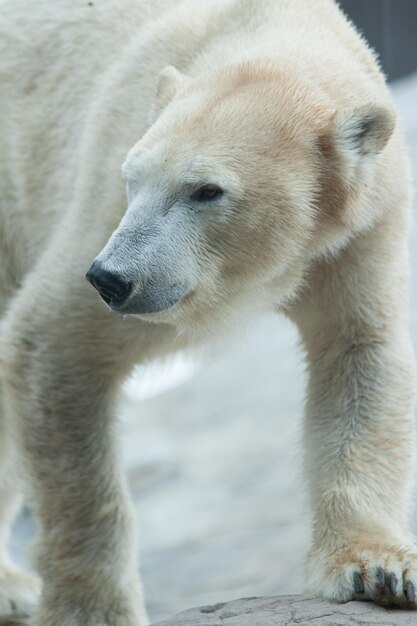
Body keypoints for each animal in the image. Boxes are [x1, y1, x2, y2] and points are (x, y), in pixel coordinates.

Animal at [0, 0, 414, 620]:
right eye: (133, 177)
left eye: (206, 190)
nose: (111, 279)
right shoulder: (101, 199)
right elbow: (53, 348)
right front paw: (95, 610)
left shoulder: (356, 233)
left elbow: (361, 358)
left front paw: (378, 568)